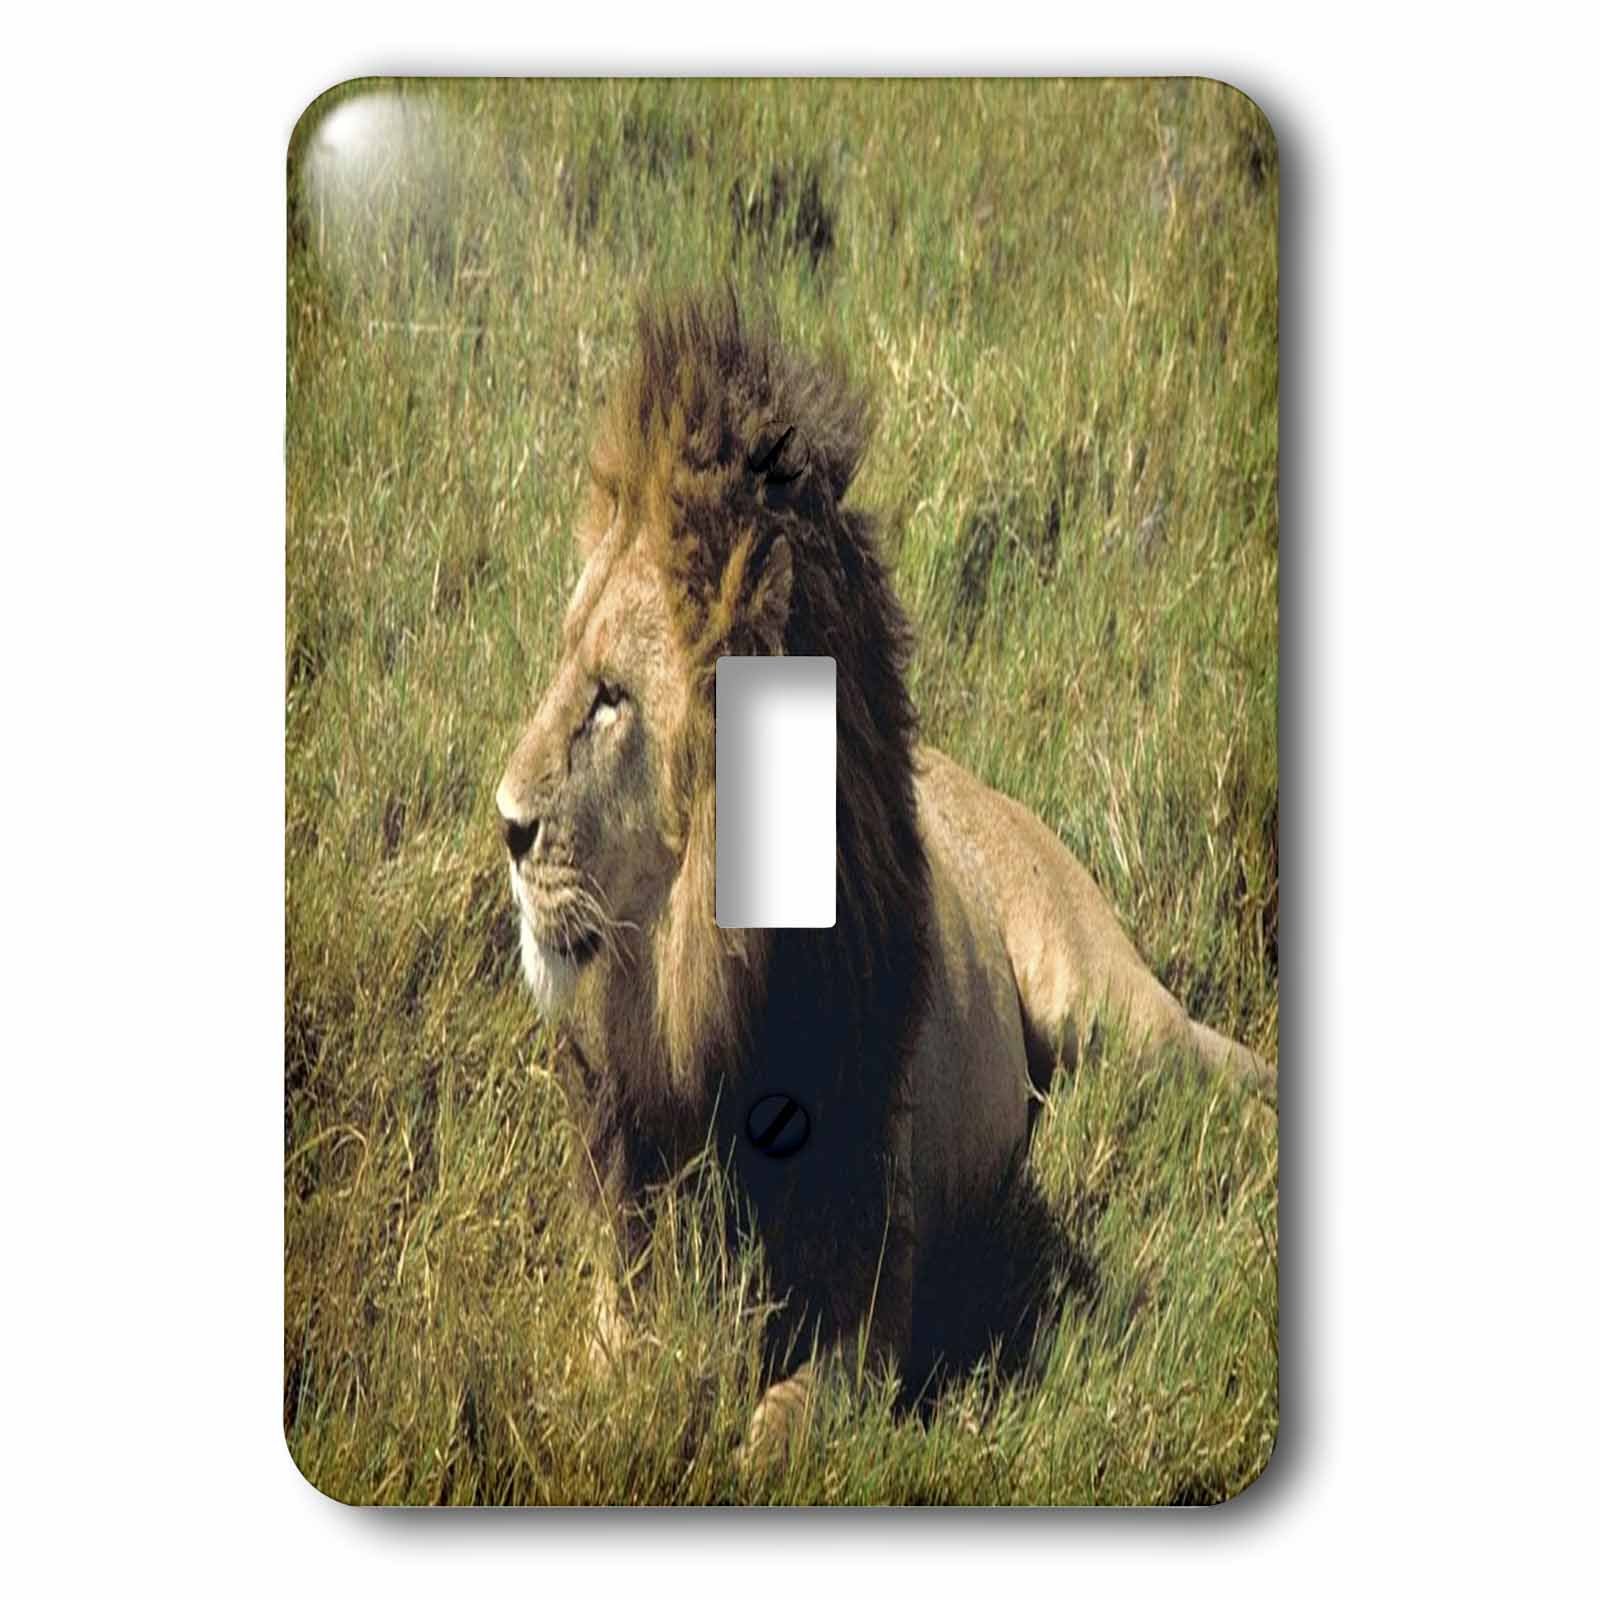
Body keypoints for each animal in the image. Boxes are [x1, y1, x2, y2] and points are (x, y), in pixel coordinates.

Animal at [496, 294, 1274, 1457]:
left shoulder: (872, 1287)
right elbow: (604, 1370)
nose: (504, 826)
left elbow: (783, 1431)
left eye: (610, 699)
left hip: (1104, 1006)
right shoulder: (623, 1242)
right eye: (561, 671)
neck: (704, 993)